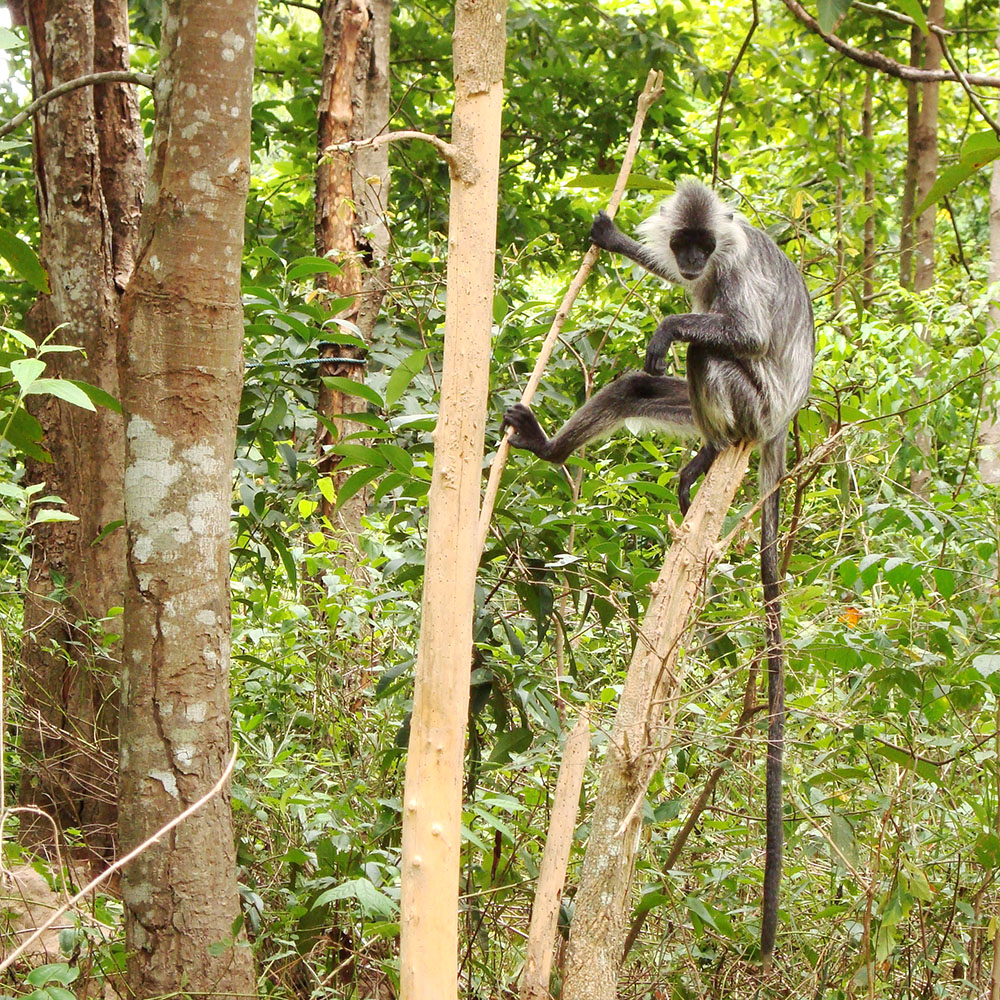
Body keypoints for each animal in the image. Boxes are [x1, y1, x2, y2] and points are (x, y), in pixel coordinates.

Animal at [504, 180, 816, 968]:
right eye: (684, 246)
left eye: (705, 246)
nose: (696, 261)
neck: (722, 252)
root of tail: (777, 428)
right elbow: (666, 311)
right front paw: (613, 238)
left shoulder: (737, 275)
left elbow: (737, 330)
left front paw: (671, 319)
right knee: (638, 385)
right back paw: (563, 450)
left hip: (751, 404)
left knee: (708, 349)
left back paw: (707, 435)